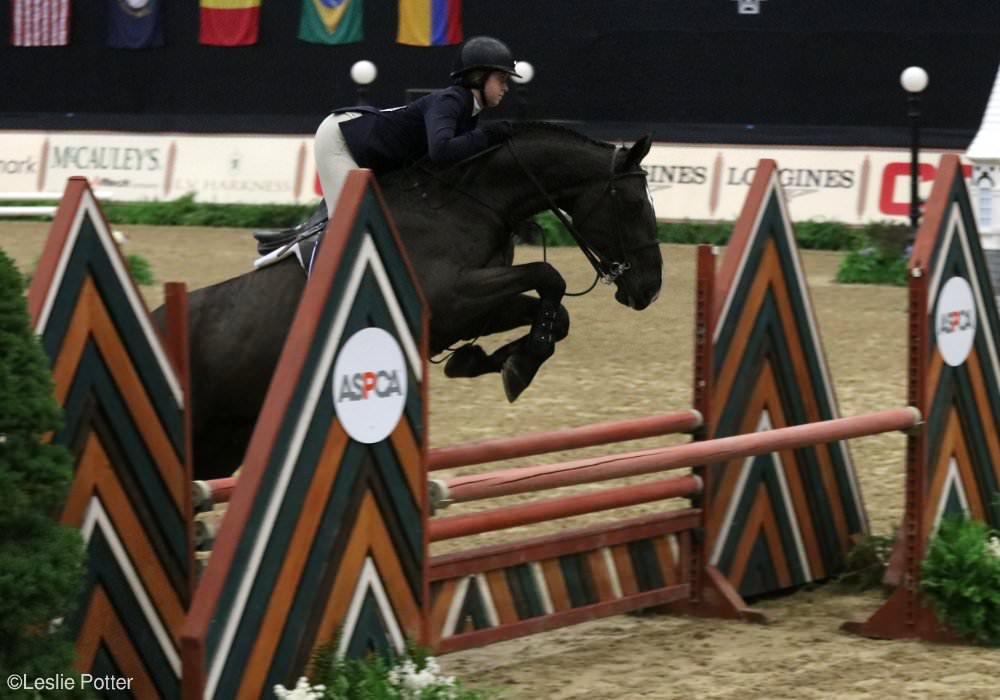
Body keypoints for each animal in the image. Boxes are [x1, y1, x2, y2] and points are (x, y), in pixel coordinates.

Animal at [164, 121, 664, 482]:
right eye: (634, 204)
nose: (650, 288)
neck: (468, 202)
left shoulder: (473, 309)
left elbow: (554, 313)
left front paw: (493, 361)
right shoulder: (451, 298)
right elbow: (549, 277)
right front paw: (515, 364)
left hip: (223, 443)